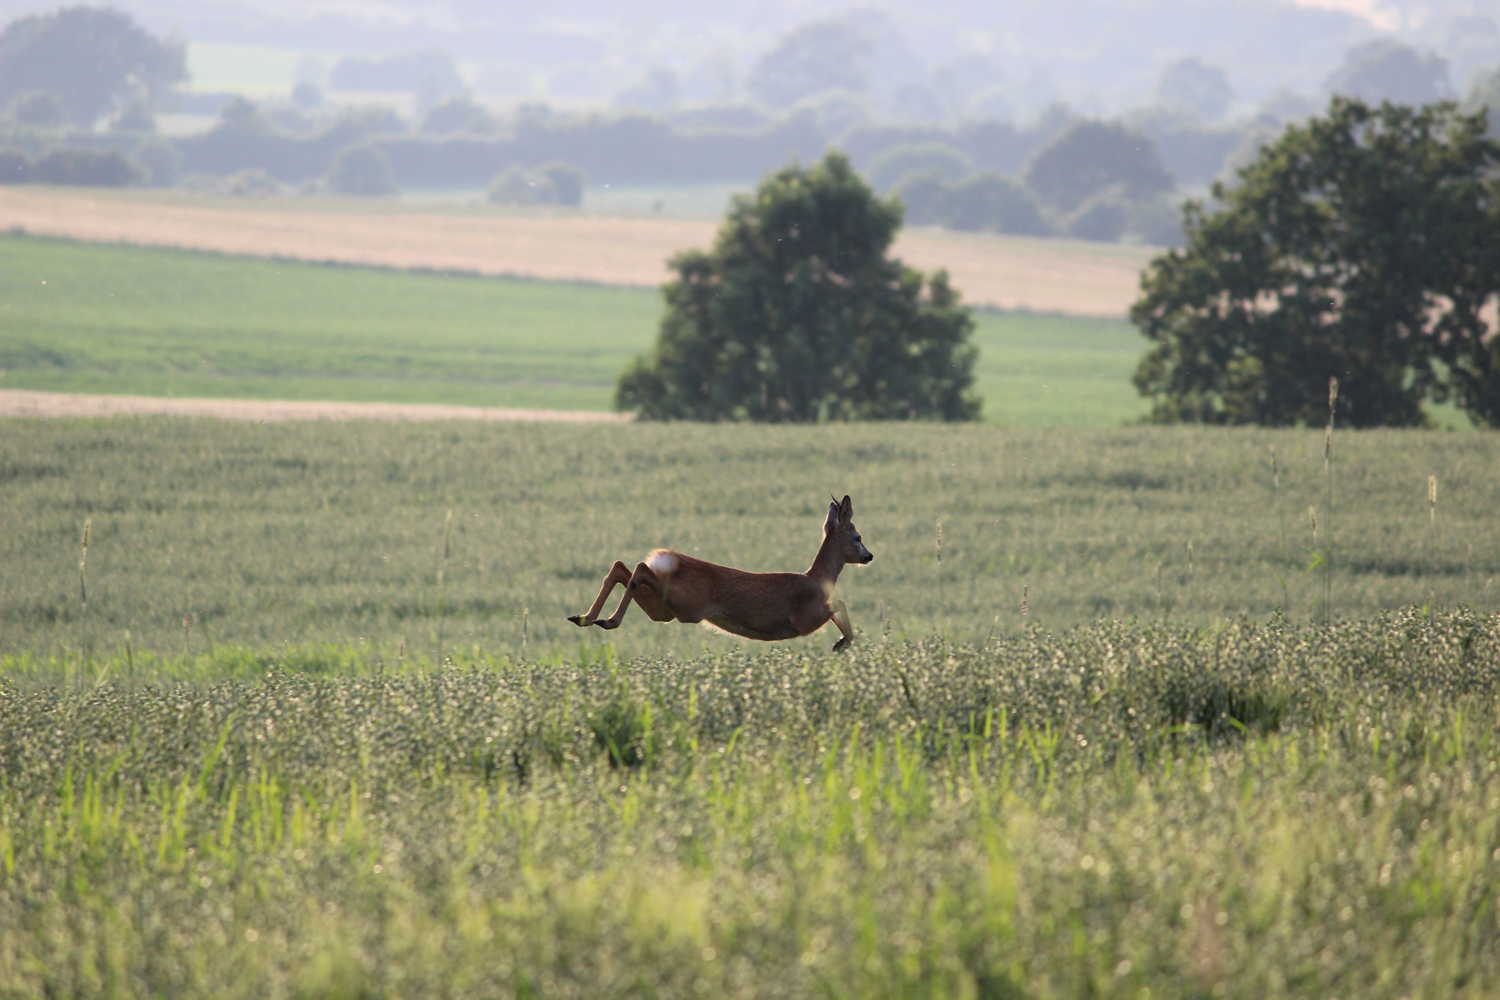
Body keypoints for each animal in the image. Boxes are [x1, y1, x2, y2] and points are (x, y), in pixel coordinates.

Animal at [564, 497, 876, 653]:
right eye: (858, 537)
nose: (869, 556)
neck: (818, 579)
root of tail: (669, 560)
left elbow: (838, 606)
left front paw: (842, 641)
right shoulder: (804, 618)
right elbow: (839, 603)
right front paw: (843, 641)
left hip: (665, 610)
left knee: (623, 567)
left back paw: (586, 618)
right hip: (687, 605)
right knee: (639, 568)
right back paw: (607, 620)